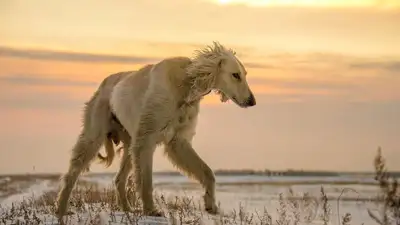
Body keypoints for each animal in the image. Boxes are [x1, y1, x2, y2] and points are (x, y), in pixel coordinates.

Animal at [55, 41, 256, 218]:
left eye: (245, 74)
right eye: (235, 75)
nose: (252, 101)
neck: (185, 85)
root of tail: (105, 82)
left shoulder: (178, 141)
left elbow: (207, 172)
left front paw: (211, 205)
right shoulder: (147, 138)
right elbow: (146, 180)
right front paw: (151, 210)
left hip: (130, 141)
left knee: (119, 178)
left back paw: (127, 209)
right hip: (95, 133)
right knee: (72, 173)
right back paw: (62, 209)